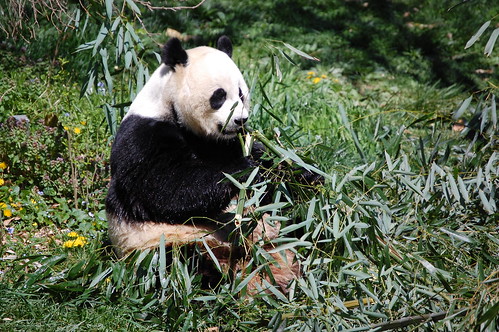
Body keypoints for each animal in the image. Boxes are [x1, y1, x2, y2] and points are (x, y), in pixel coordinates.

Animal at [105, 37, 298, 294]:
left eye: (241, 93)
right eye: (219, 96)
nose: (240, 120)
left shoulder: (223, 142)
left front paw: (297, 172)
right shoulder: (142, 138)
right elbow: (167, 189)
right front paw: (245, 171)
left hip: (273, 237)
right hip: (159, 246)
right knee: (183, 265)